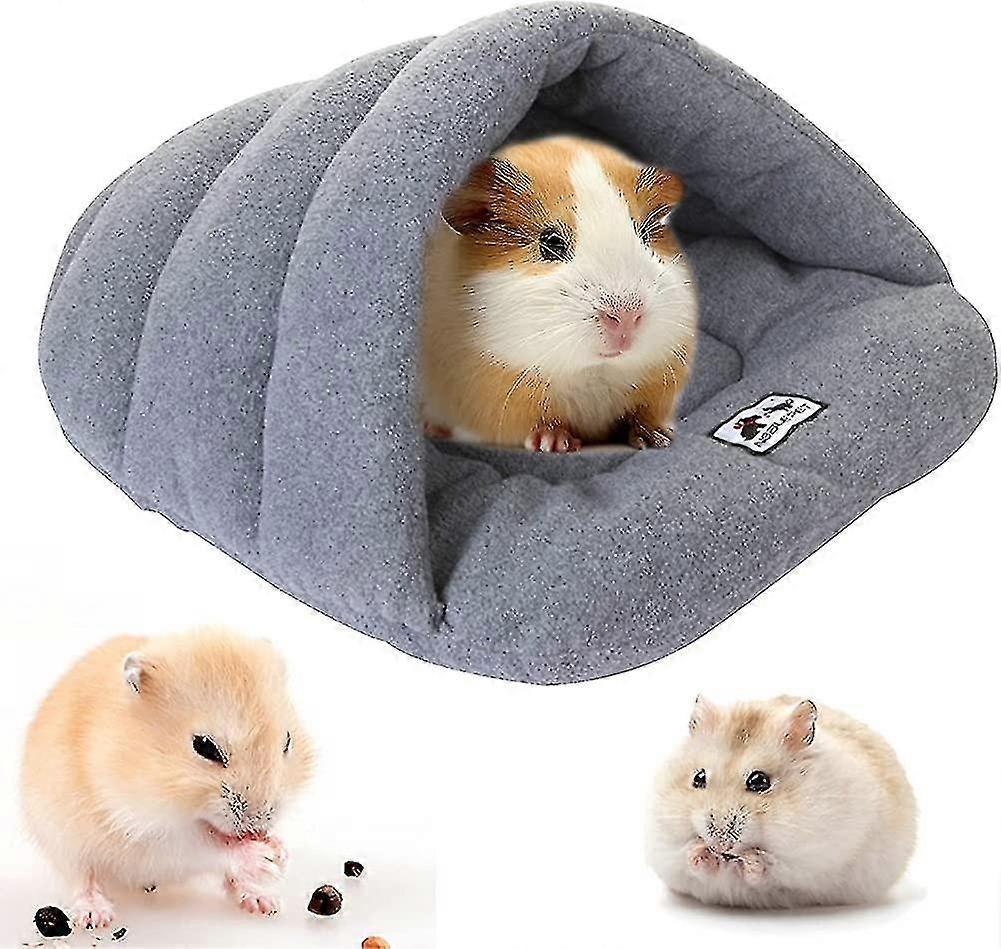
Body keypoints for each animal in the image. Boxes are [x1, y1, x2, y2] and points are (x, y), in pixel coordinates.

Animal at [21, 627, 313, 929]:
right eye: (204, 746)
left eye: (288, 741)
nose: (257, 827)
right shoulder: (147, 833)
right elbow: (205, 850)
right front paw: (265, 858)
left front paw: (280, 852)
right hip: (62, 839)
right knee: (81, 877)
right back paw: (96, 917)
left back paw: (263, 901)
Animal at [422, 135, 697, 452]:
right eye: (551, 242)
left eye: (643, 234)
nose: (626, 317)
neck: (593, 371)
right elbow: (539, 423)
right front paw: (555, 444)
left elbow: (640, 414)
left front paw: (657, 439)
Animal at [647, 696, 917, 909]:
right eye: (698, 778)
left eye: (759, 781)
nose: (721, 845)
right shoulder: (665, 849)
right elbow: (686, 858)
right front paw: (702, 852)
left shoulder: (813, 859)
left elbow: (772, 867)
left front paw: (750, 861)